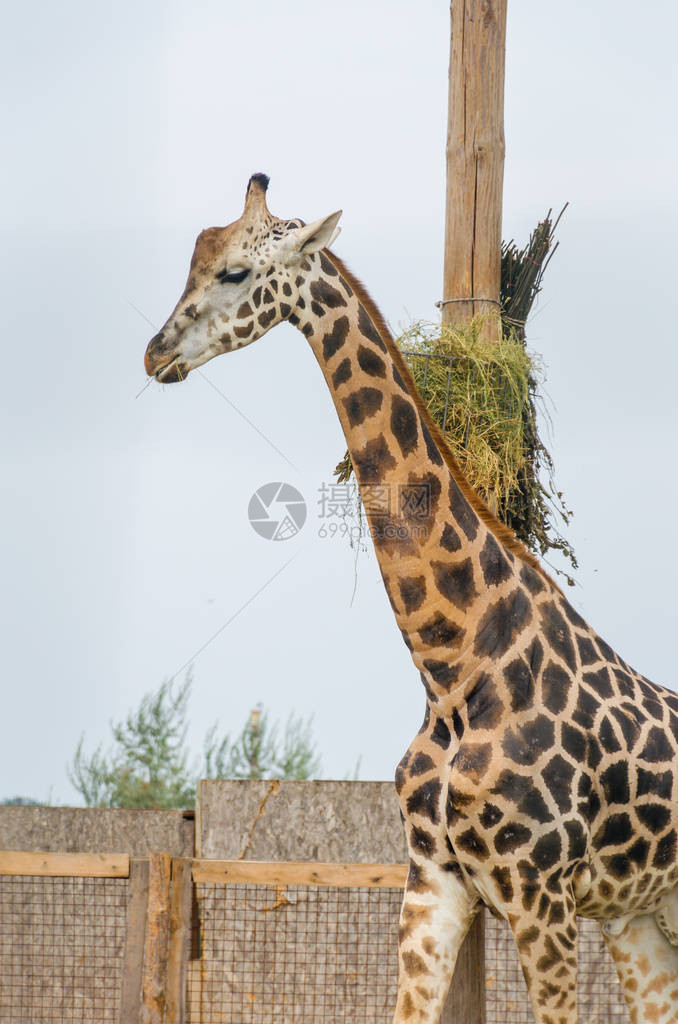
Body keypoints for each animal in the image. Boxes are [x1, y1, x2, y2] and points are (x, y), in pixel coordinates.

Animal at [146, 176, 678, 1024]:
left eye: (233, 271)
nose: (155, 353)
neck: (454, 665)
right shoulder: (433, 884)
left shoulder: (540, 895)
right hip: (642, 917)